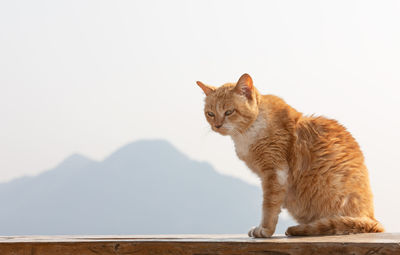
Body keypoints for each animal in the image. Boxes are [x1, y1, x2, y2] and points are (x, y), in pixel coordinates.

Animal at [197, 73, 384, 237]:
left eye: (229, 112)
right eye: (210, 114)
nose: (217, 125)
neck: (246, 133)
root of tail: (372, 218)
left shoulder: (275, 173)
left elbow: (269, 206)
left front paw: (264, 230)